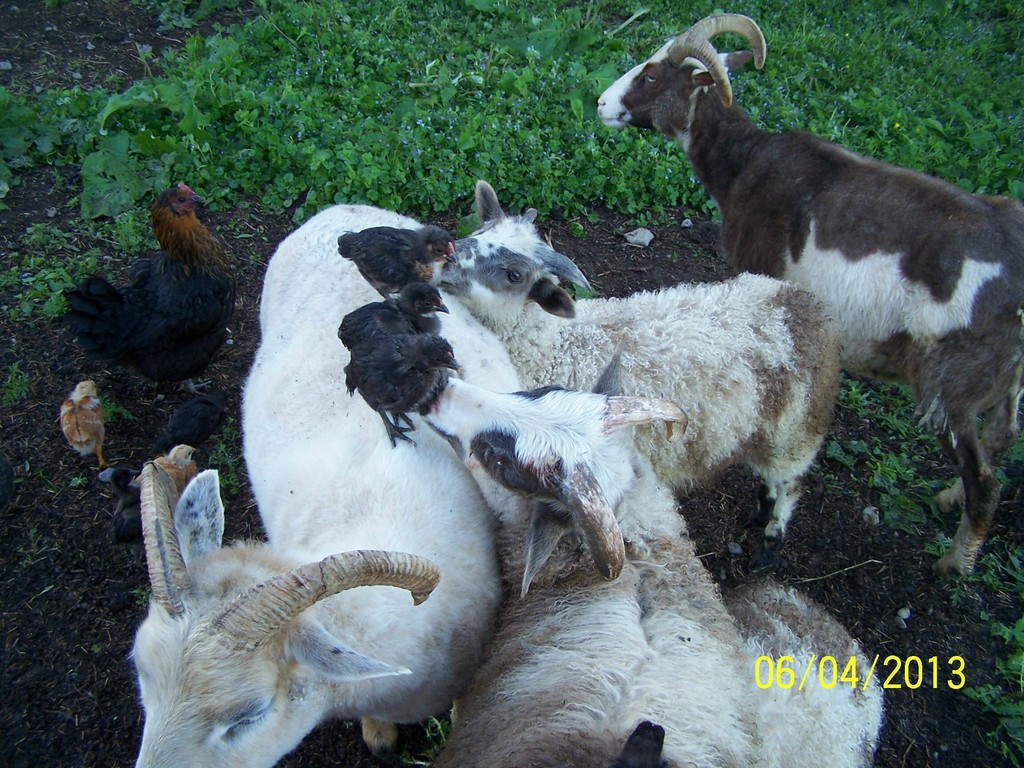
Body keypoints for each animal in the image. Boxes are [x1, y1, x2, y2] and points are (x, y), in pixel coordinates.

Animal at [439, 180, 842, 565]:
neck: (557, 346)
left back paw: (771, 538)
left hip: (794, 431)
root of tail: (804, 306)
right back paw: (759, 513)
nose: (444, 260)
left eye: (514, 274)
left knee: (789, 485)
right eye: (479, 231)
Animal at [596, 13, 1024, 576]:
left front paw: (764, 509)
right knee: (1001, 442)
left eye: (651, 75)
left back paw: (954, 562)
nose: (600, 103)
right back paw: (950, 498)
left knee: (987, 481)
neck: (743, 165)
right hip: (1003, 385)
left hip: (952, 386)